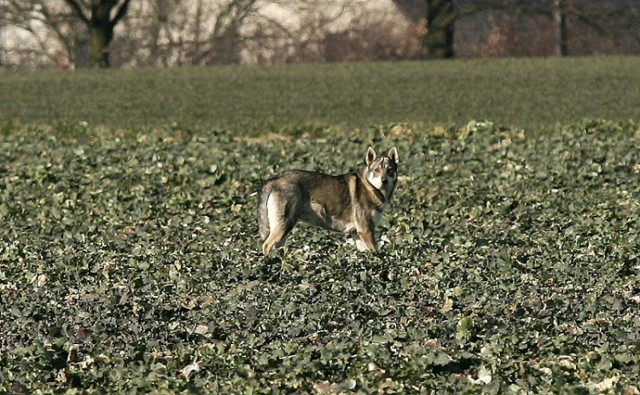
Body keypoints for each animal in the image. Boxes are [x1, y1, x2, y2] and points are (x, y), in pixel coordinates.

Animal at [258, 147, 398, 255]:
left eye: (390, 170)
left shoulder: (357, 234)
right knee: (266, 245)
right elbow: (376, 250)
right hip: (284, 226)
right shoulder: (366, 230)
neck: (372, 188)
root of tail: (275, 179)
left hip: (283, 231)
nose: (384, 181)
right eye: (377, 170)